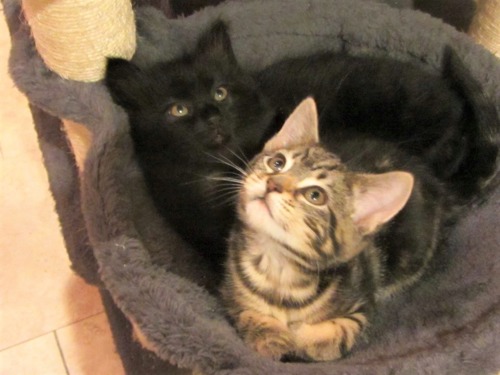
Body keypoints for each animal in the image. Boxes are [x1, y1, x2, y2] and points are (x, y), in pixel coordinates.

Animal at [223, 98, 446, 362]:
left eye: (315, 195)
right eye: (277, 162)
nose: (272, 183)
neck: (280, 266)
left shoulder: (363, 307)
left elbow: (341, 331)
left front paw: (303, 337)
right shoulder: (230, 290)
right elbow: (247, 312)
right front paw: (270, 335)